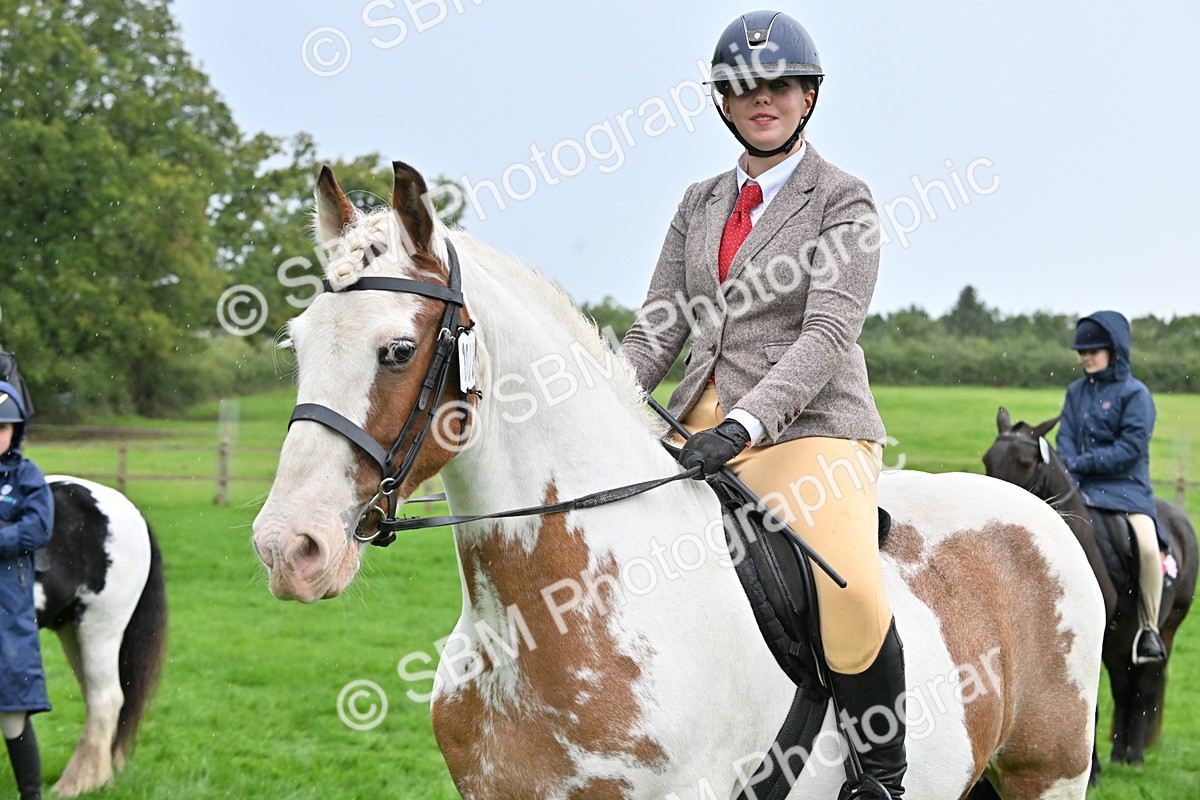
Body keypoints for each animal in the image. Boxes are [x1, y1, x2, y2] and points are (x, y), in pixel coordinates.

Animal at [252, 161, 1106, 799]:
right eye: (298, 340)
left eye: (397, 350)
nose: (287, 547)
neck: (551, 614)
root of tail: (1034, 511)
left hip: (1048, 774)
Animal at [982, 408, 1197, 776]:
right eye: (988, 458)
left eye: (1025, 462)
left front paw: (1091, 770)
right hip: (1120, 641)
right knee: (1124, 688)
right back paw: (1119, 755)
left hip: (1165, 630)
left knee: (1144, 687)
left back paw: (1135, 758)